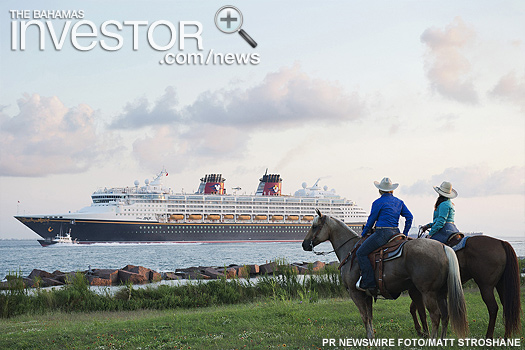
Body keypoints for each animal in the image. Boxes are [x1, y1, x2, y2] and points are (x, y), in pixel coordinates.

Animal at [300, 211, 468, 340]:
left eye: (314, 226)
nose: (304, 244)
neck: (350, 249)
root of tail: (443, 247)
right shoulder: (367, 294)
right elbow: (369, 316)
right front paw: (372, 336)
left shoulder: (355, 292)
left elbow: (364, 316)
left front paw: (369, 338)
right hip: (441, 292)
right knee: (445, 315)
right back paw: (442, 339)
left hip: (428, 292)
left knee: (435, 315)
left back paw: (433, 339)